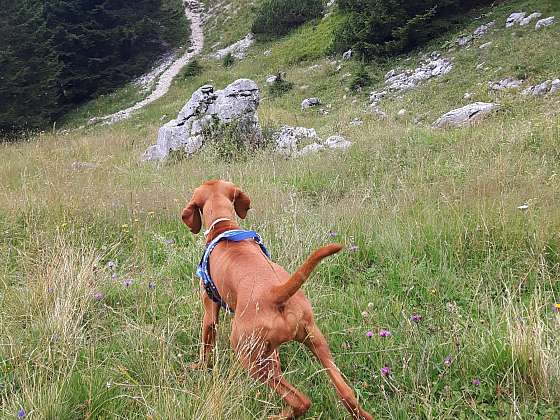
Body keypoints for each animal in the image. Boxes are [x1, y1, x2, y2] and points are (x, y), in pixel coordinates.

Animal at [183, 180, 372, 420]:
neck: (223, 227)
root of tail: (275, 292)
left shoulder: (209, 310)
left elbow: (206, 344)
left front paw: (199, 367)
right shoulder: (272, 351)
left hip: (248, 356)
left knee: (301, 400)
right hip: (315, 341)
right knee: (347, 394)